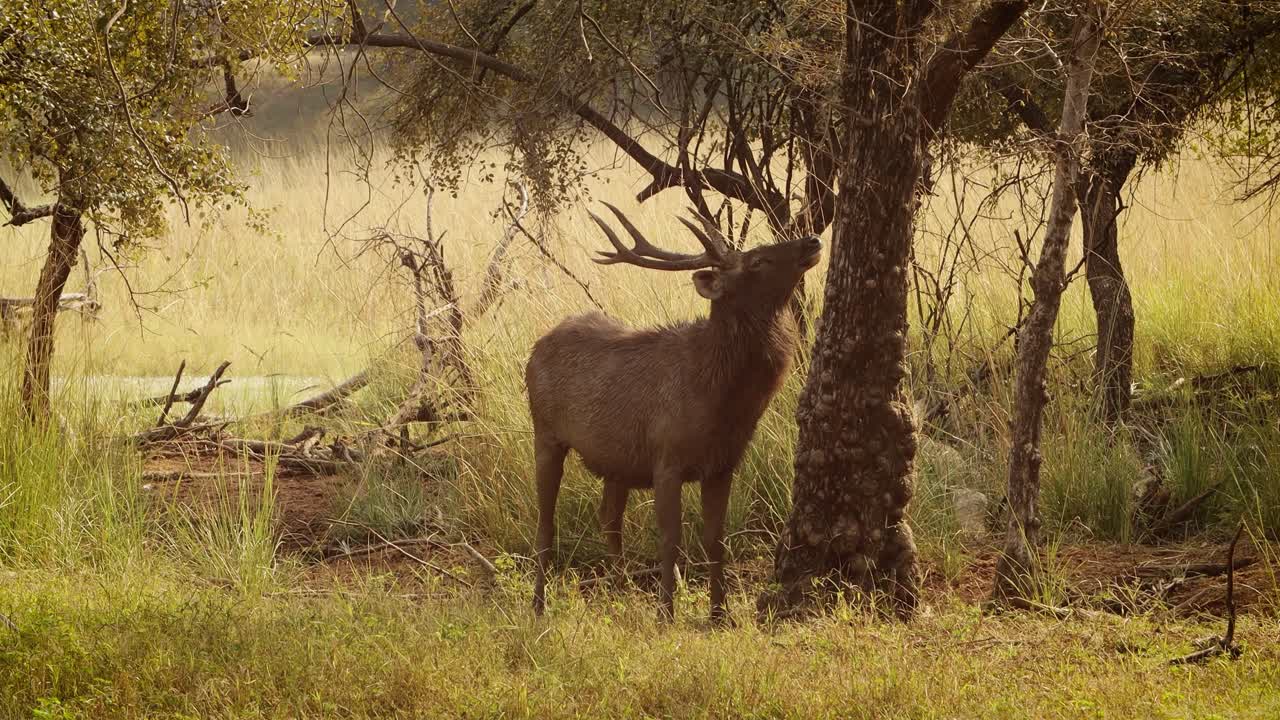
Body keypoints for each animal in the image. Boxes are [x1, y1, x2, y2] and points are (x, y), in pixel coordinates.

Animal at [525, 202, 822, 623]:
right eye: (758, 260)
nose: (811, 240)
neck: (719, 401)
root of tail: (536, 347)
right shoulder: (666, 458)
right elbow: (671, 539)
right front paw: (666, 614)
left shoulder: (722, 465)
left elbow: (715, 540)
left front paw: (720, 614)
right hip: (546, 432)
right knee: (545, 523)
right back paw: (539, 604)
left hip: (617, 462)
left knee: (608, 519)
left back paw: (622, 593)